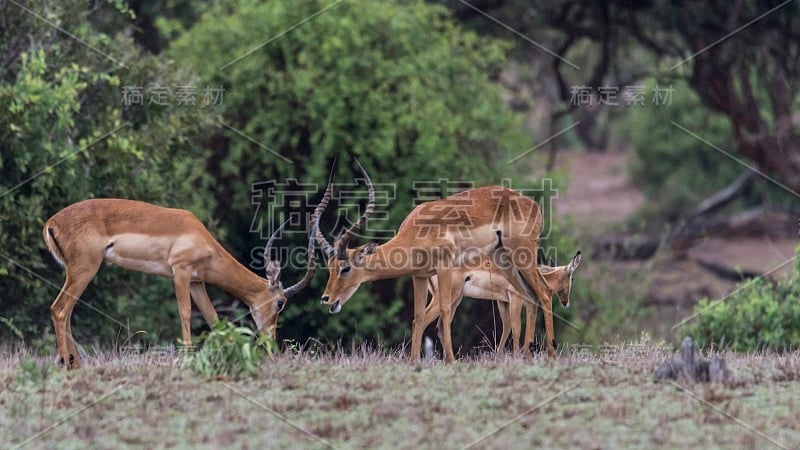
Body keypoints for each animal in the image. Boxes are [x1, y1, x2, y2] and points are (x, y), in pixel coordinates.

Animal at [43, 200, 318, 370]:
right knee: (59, 309)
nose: (272, 341)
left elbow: (213, 318)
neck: (200, 237)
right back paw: (67, 365)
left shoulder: (197, 281)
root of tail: (51, 223)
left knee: (66, 313)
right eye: (280, 303)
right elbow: (185, 313)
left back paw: (75, 364)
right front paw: (188, 358)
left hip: (77, 272)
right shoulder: (180, 271)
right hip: (85, 270)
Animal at [422, 251, 580, 356]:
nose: (566, 302)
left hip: (454, 301)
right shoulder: (515, 299)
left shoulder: (503, 302)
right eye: (572, 278)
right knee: (422, 321)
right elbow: (516, 328)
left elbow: (507, 328)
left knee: (439, 328)